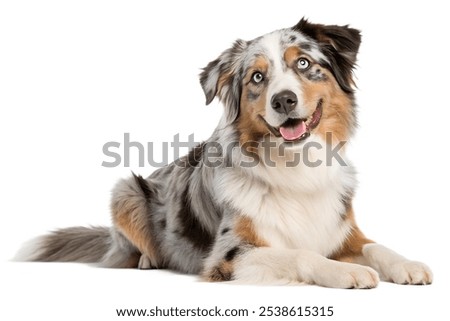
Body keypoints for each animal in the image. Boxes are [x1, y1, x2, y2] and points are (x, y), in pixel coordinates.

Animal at [16, 17, 432, 288]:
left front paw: (408, 264)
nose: (283, 99)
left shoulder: (343, 231)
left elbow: (377, 246)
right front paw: (347, 271)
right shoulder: (230, 255)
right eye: (257, 77)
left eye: (303, 63)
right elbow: (301, 254)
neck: (296, 165)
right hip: (126, 190)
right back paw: (149, 259)